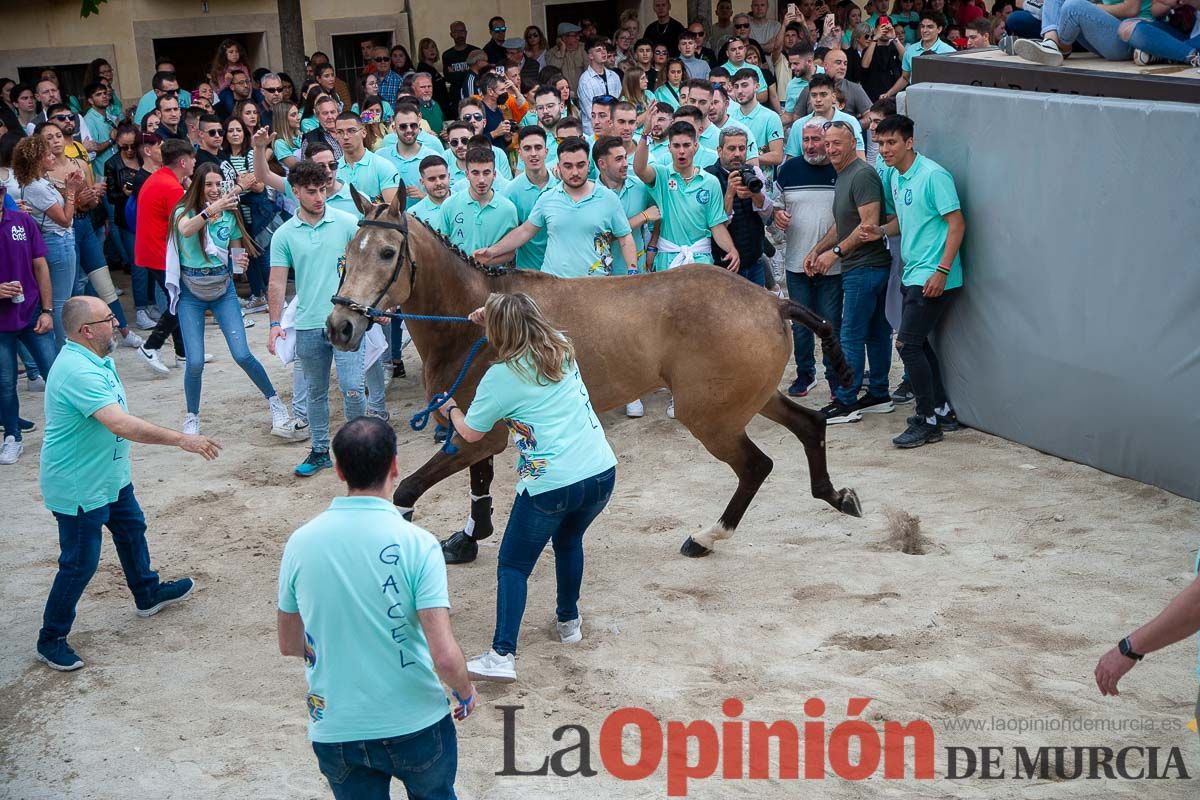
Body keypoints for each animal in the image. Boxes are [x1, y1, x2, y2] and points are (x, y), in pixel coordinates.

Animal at [324, 190, 859, 561]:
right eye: (347, 251)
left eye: (388, 253)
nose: (340, 326)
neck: (473, 318)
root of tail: (772, 300)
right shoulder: (478, 430)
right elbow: (479, 488)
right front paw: (469, 540)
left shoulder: (478, 435)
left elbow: (408, 490)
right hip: (752, 398)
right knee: (810, 426)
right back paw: (837, 495)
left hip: (712, 417)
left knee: (755, 466)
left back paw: (707, 537)